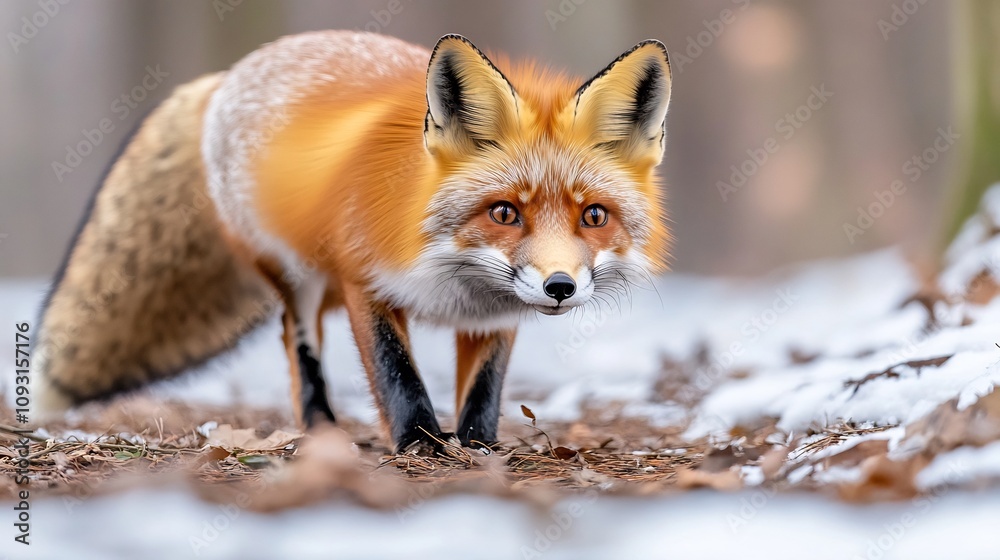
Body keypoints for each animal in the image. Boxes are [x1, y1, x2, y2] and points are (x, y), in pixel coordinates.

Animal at [33, 31, 672, 453]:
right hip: (298, 276)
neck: (452, 274)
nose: (560, 286)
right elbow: (397, 375)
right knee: (298, 341)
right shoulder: (365, 280)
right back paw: (321, 429)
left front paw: (476, 446)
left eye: (594, 216)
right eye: (504, 213)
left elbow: (484, 390)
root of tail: (229, 75)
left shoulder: (492, 315)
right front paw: (419, 444)